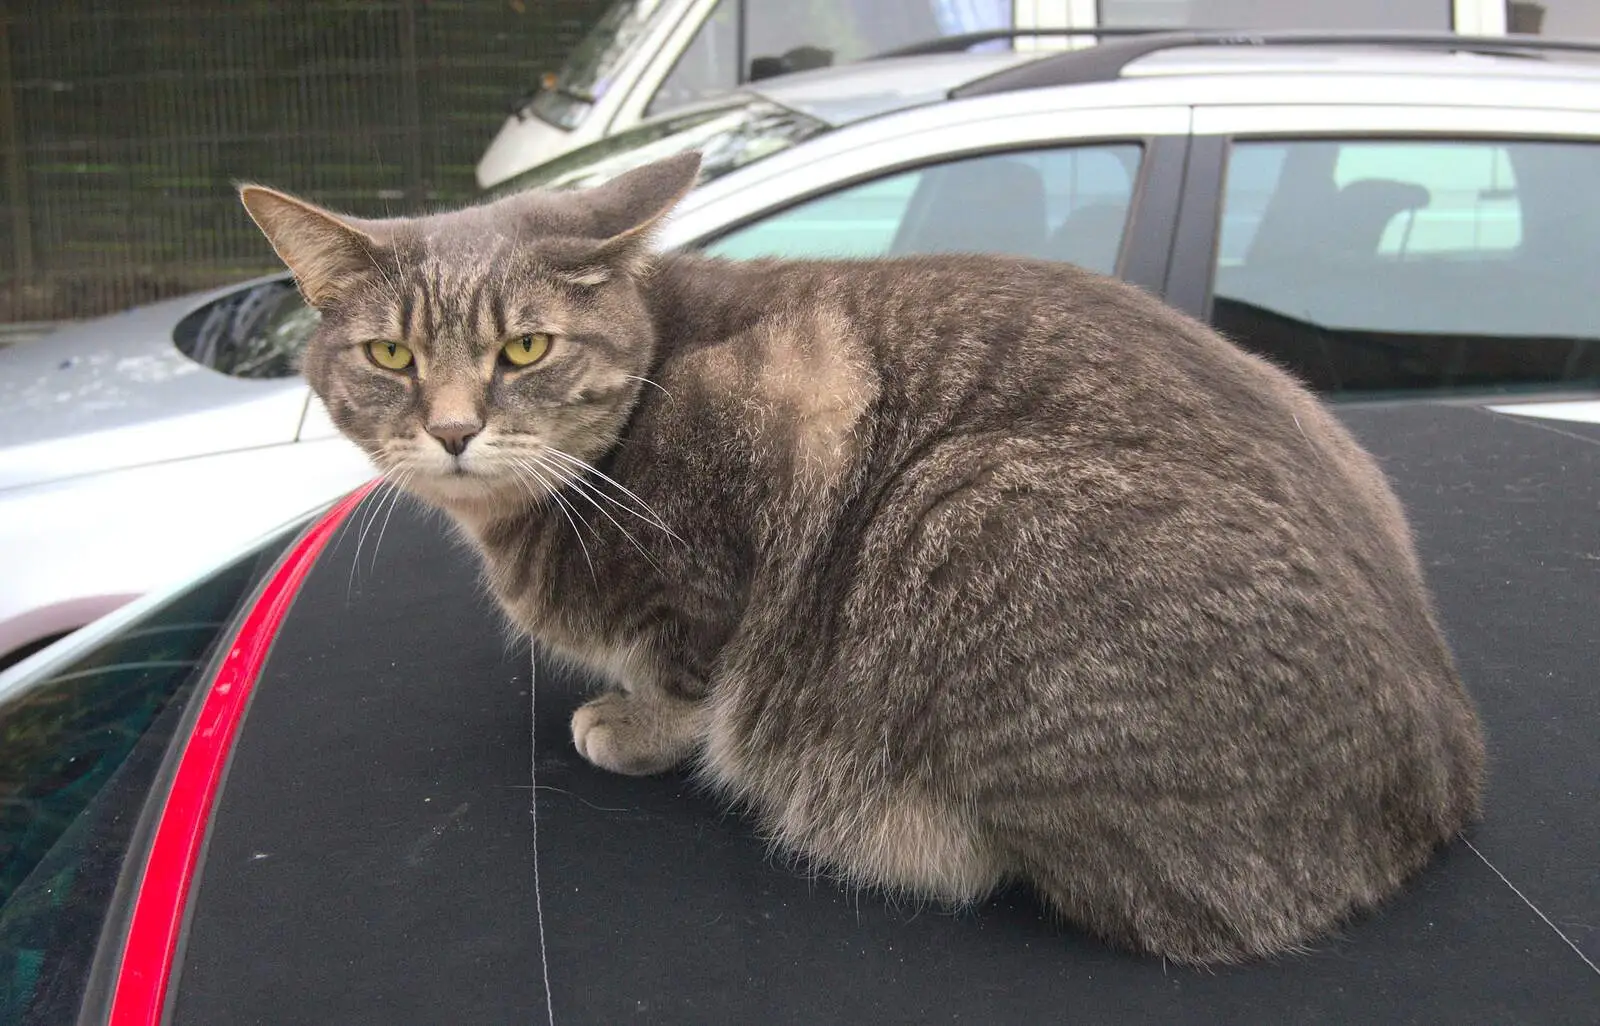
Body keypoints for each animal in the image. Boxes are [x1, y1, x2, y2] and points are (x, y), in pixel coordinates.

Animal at [240, 150, 1484, 960]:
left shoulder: (728, 544)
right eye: (391, 356)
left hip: (958, 508)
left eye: (525, 349)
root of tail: (1446, 777)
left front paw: (629, 725)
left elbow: (687, 679)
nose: (452, 429)